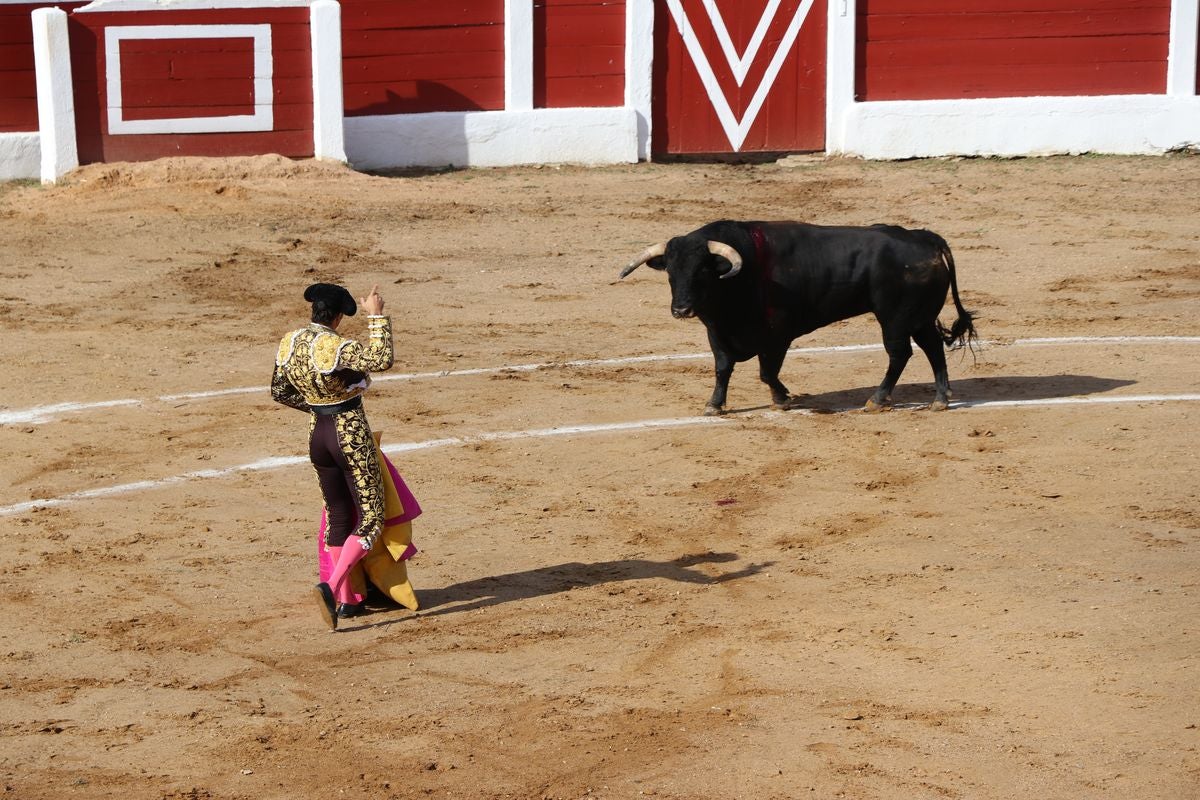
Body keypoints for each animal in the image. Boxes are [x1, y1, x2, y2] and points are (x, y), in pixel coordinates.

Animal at [619, 221, 974, 417]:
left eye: (702, 271)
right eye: (671, 272)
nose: (680, 309)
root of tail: (925, 238)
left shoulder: (776, 336)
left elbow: (766, 373)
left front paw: (782, 399)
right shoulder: (717, 333)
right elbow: (723, 369)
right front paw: (715, 404)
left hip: (895, 318)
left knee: (899, 353)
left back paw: (877, 400)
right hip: (920, 317)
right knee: (932, 348)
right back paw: (940, 399)